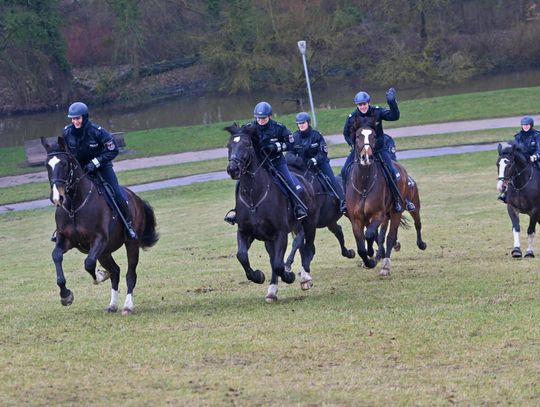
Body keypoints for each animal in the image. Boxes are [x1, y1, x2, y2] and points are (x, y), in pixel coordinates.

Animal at [40, 138, 158, 316]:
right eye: (47, 165)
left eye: (65, 164)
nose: (57, 197)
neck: (75, 206)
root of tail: (136, 198)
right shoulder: (65, 239)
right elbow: (56, 256)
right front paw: (65, 295)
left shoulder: (99, 240)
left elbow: (88, 263)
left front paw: (101, 275)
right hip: (105, 252)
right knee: (115, 272)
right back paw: (112, 305)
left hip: (130, 244)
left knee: (130, 274)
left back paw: (127, 306)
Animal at [225, 122, 320, 302]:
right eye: (229, 146)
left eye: (247, 144)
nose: (233, 169)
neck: (254, 197)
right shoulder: (245, 231)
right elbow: (242, 256)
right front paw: (258, 276)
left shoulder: (280, 233)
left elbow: (278, 264)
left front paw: (289, 276)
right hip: (273, 237)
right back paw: (272, 290)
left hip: (309, 223)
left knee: (307, 247)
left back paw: (305, 278)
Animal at [344, 127, 424, 278]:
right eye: (358, 137)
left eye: (374, 137)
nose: (366, 157)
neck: (364, 184)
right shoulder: (357, 219)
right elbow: (363, 244)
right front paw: (370, 259)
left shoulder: (378, 215)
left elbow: (370, 234)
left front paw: (372, 254)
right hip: (387, 216)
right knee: (383, 236)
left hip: (407, 208)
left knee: (408, 227)